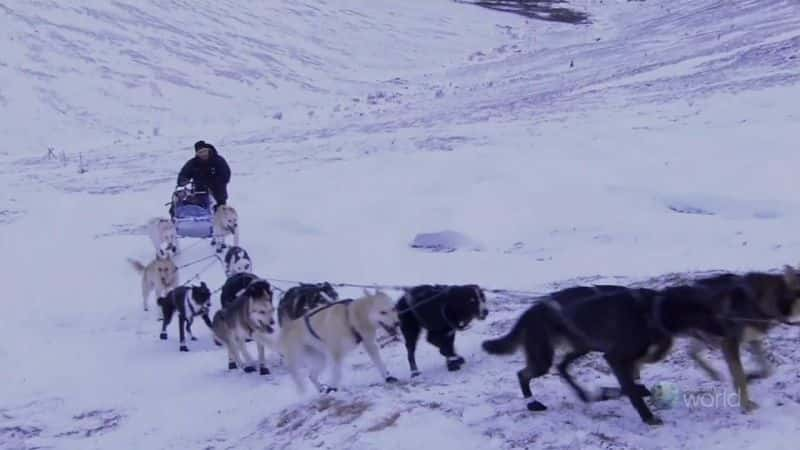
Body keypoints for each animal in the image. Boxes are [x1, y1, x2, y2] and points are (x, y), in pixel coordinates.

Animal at [482, 284, 724, 426]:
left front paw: (614, 392)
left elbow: (633, 382)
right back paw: (533, 403)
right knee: (523, 374)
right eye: (704, 313)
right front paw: (647, 416)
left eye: (713, 310)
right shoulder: (615, 358)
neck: (652, 311)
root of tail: (531, 310)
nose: (725, 331)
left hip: (582, 346)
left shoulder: (625, 357)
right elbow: (630, 389)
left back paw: (584, 394)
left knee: (561, 367)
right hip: (544, 356)